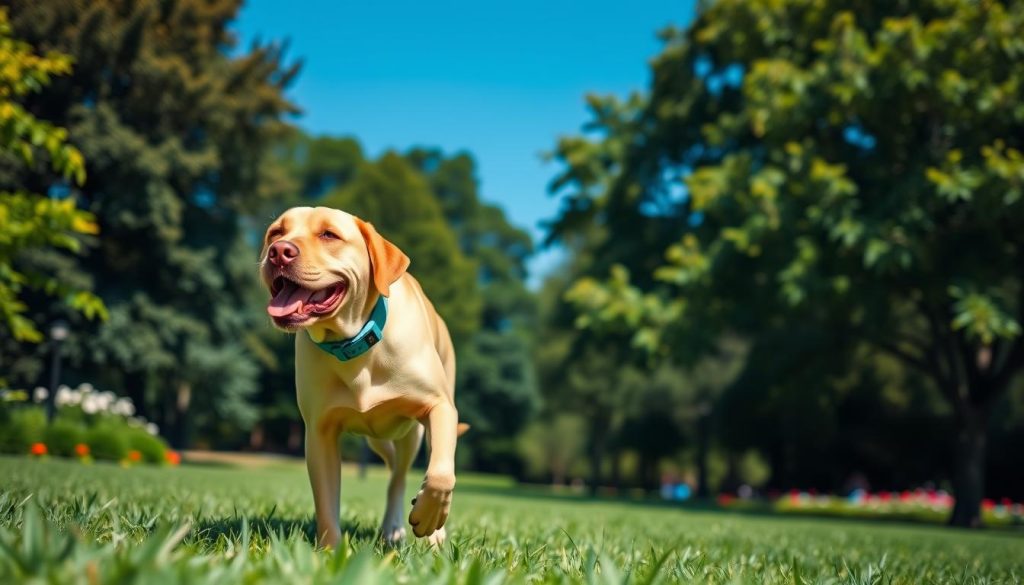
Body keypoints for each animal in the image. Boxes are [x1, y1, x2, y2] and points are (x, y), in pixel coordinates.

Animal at [260, 206, 464, 549]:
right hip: (378, 438)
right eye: (276, 232)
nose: (279, 252)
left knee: (401, 477)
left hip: (412, 434)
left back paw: (413, 530)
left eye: (329, 234)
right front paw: (330, 552)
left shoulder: (439, 407)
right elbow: (326, 503)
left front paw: (430, 519)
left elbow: (440, 473)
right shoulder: (319, 433)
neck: (353, 343)